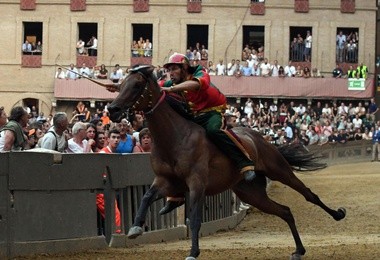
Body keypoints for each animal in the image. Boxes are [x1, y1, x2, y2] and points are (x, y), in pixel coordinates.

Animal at [107, 65, 348, 260]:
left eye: (137, 85)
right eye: (120, 84)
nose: (112, 109)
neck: (174, 137)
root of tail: (260, 137)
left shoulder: (197, 182)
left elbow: (194, 219)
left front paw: (193, 252)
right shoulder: (165, 180)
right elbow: (146, 197)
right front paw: (135, 227)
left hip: (279, 170)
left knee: (308, 194)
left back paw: (337, 214)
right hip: (251, 192)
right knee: (285, 211)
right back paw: (299, 249)